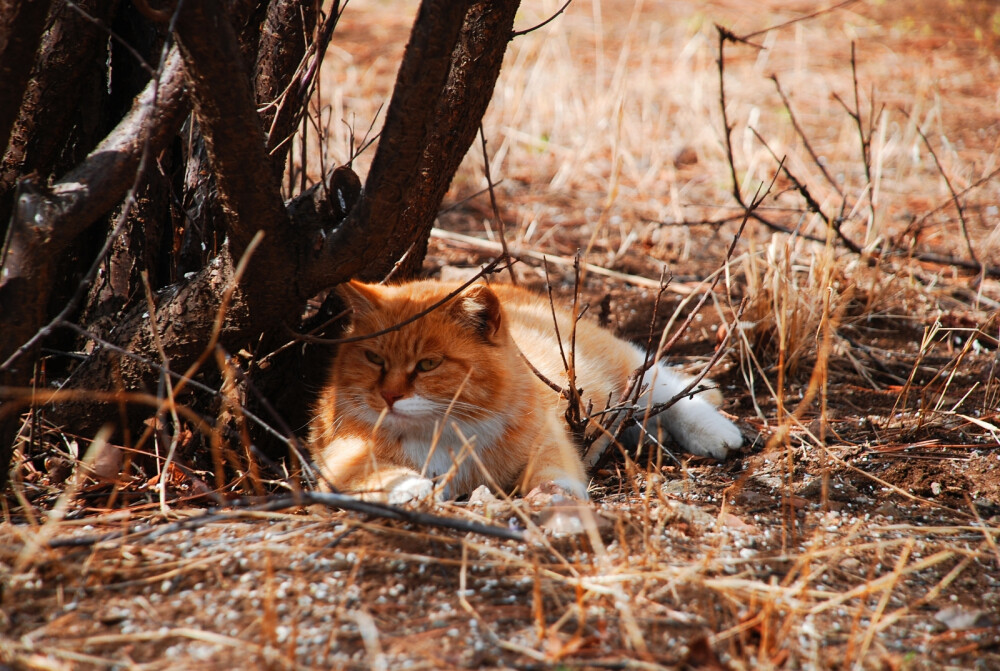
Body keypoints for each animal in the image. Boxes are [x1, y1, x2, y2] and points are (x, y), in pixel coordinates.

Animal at [306, 278, 744, 504]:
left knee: (664, 385)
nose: (389, 396)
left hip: (622, 369)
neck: (438, 429)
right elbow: (367, 470)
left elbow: (553, 466)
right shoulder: (338, 451)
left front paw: (553, 492)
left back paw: (715, 432)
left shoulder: (549, 435)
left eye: (429, 364)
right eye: (373, 358)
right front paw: (407, 486)